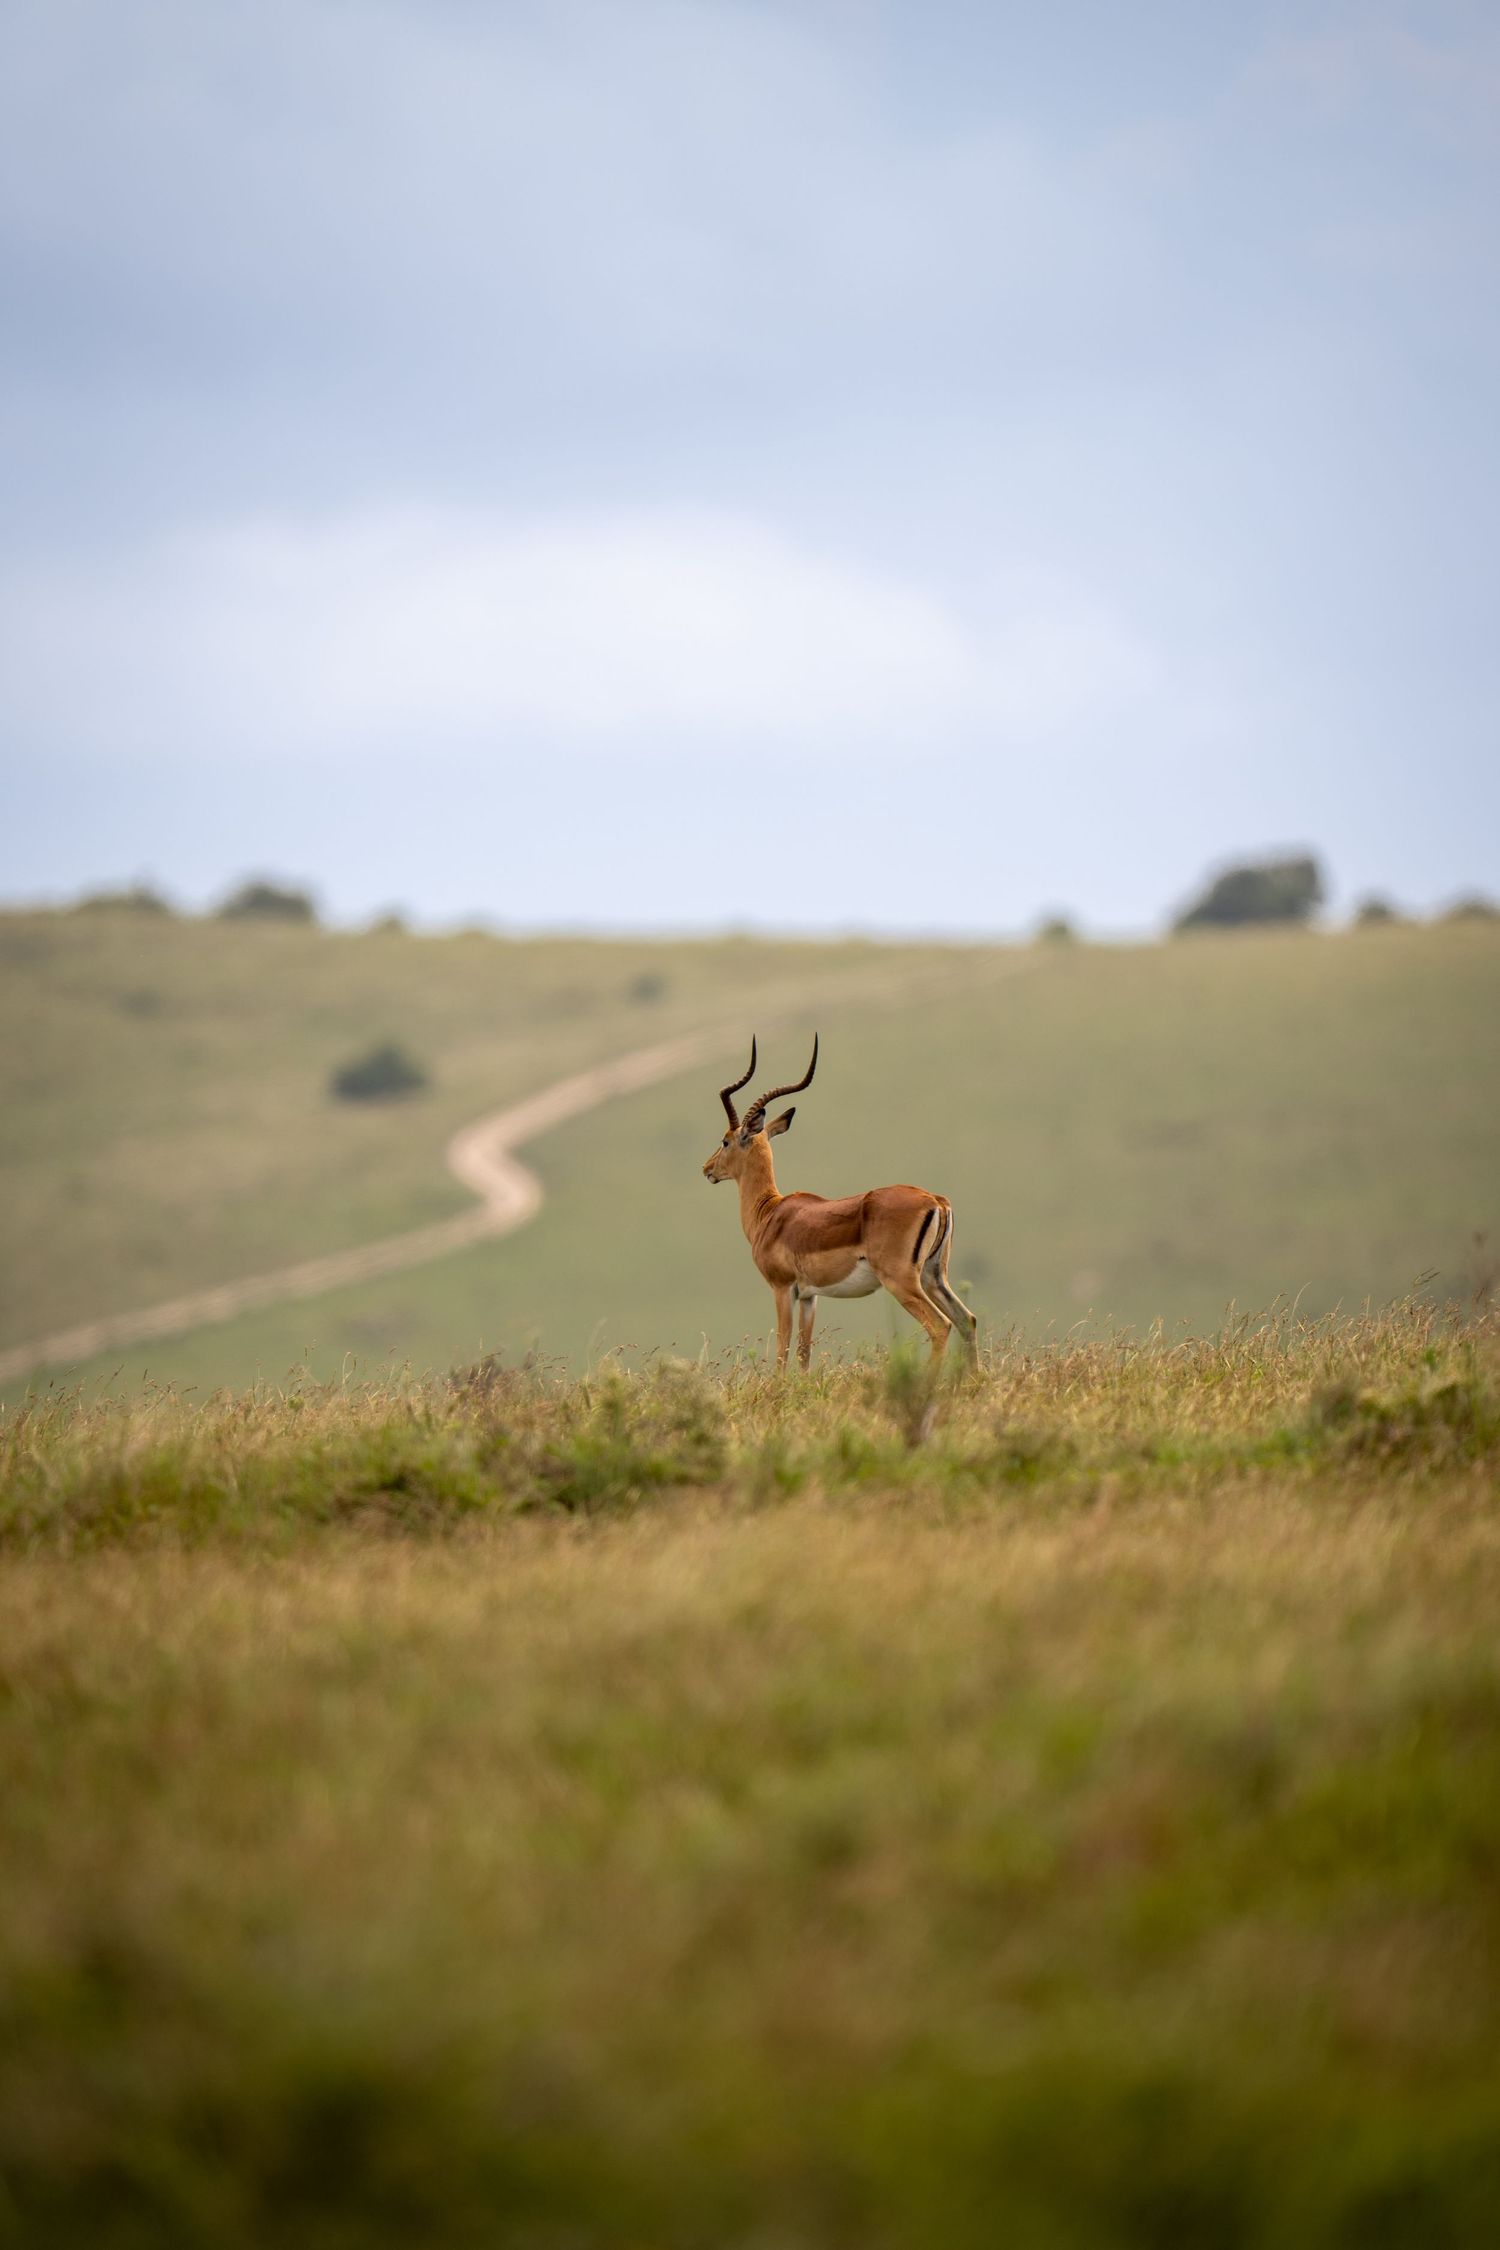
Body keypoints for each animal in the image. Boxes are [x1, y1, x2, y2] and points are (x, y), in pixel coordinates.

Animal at [702, 1037, 978, 1372]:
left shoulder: (783, 1288)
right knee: (967, 1320)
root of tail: (936, 1200)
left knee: (941, 1326)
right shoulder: (810, 1296)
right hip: (933, 1276)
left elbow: (782, 1349)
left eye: (725, 1140)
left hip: (902, 1281)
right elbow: (804, 1352)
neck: (769, 1212)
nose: (707, 1169)